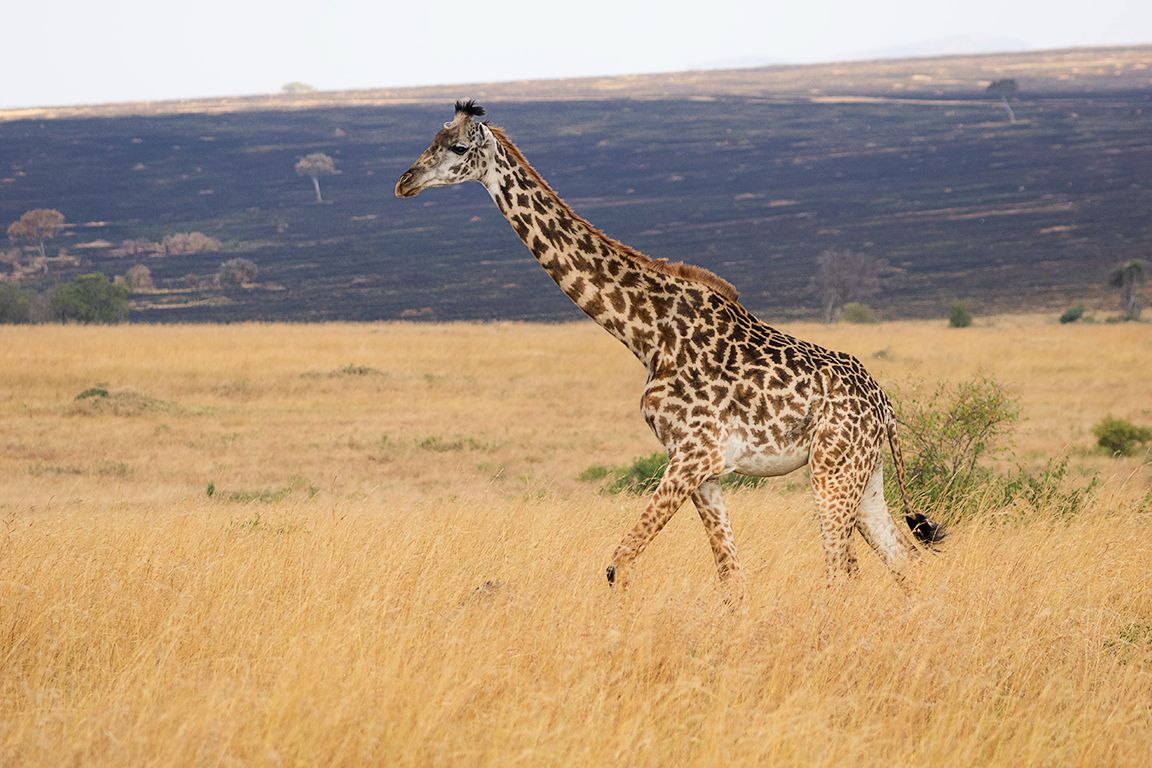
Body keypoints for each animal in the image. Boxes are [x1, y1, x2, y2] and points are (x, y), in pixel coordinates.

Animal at [395, 101, 944, 598]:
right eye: (431, 138)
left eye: (458, 147)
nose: (404, 182)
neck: (647, 334)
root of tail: (883, 403)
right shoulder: (702, 469)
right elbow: (730, 579)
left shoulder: (692, 455)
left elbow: (618, 565)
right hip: (865, 474)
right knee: (906, 562)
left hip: (833, 467)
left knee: (841, 575)